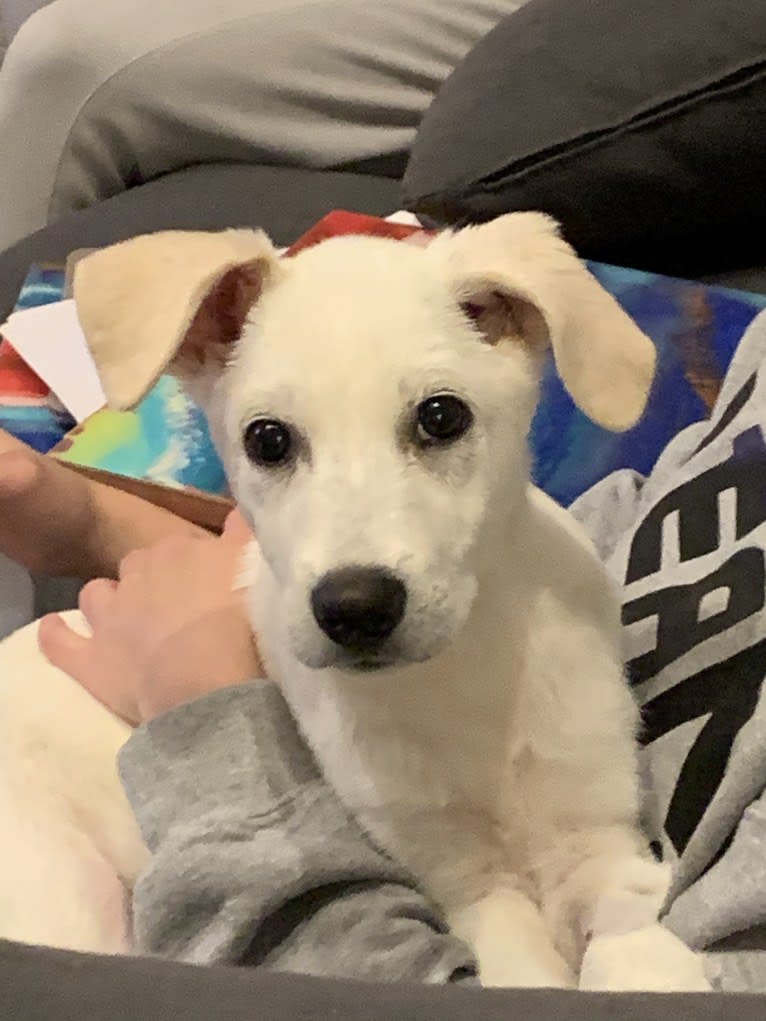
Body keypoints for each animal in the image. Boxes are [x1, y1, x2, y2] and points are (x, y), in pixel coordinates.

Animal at [0, 213, 710, 988]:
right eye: (267, 438)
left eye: (441, 416)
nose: (355, 609)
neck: (465, 673)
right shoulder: (465, 885)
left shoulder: (596, 835)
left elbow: (632, 946)